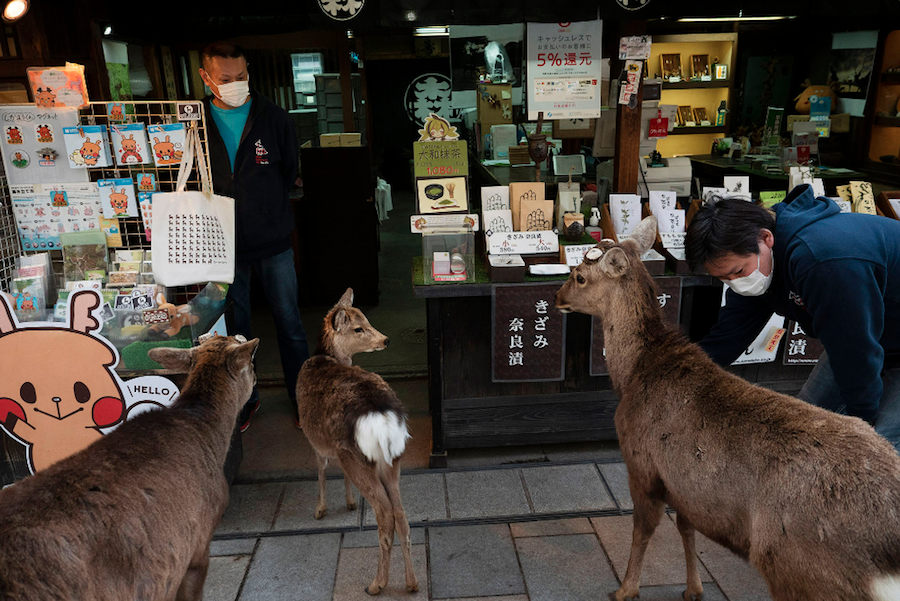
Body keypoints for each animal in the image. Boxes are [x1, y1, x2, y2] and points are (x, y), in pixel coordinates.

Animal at [298, 290, 420, 596]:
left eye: (366, 321)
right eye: (358, 327)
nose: (385, 339)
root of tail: (380, 417)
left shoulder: (315, 439)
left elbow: (321, 470)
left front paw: (320, 510)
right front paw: (350, 503)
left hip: (359, 458)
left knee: (385, 514)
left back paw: (377, 584)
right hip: (392, 460)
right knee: (401, 514)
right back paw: (412, 583)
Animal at [556, 216, 900, 600]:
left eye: (579, 276)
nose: (557, 298)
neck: (634, 374)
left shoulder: (642, 464)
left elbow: (643, 530)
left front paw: (625, 589)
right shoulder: (688, 486)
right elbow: (686, 527)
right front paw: (694, 588)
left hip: (801, 566)